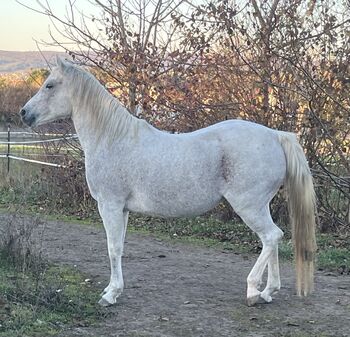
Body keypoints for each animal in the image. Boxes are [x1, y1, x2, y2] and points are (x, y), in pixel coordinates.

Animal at [21, 57, 318, 304]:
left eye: (49, 85)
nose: (24, 113)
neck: (112, 138)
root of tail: (276, 135)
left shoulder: (110, 206)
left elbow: (113, 248)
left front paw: (111, 294)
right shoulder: (122, 210)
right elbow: (120, 247)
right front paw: (112, 289)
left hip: (249, 206)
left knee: (271, 236)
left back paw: (253, 291)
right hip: (260, 206)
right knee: (274, 240)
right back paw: (268, 292)